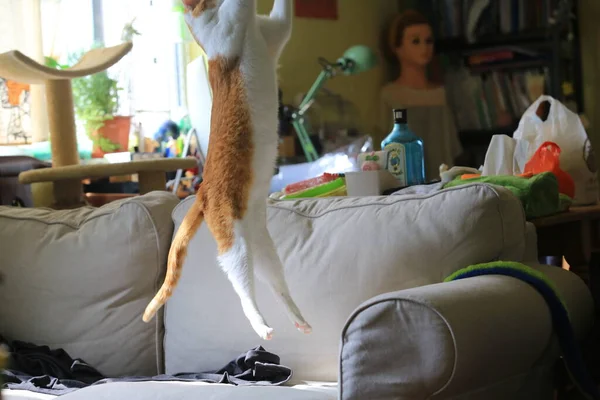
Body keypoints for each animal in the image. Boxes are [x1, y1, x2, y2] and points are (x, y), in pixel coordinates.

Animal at [141, 0, 310, 340]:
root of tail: (202, 191)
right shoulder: (227, 33)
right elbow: (239, 8)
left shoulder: (275, 33)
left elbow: (283, 15)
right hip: (235, 246)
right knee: (244, 293)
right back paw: (261, 325)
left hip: (264, 249)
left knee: (277, 287)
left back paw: (298, 319)